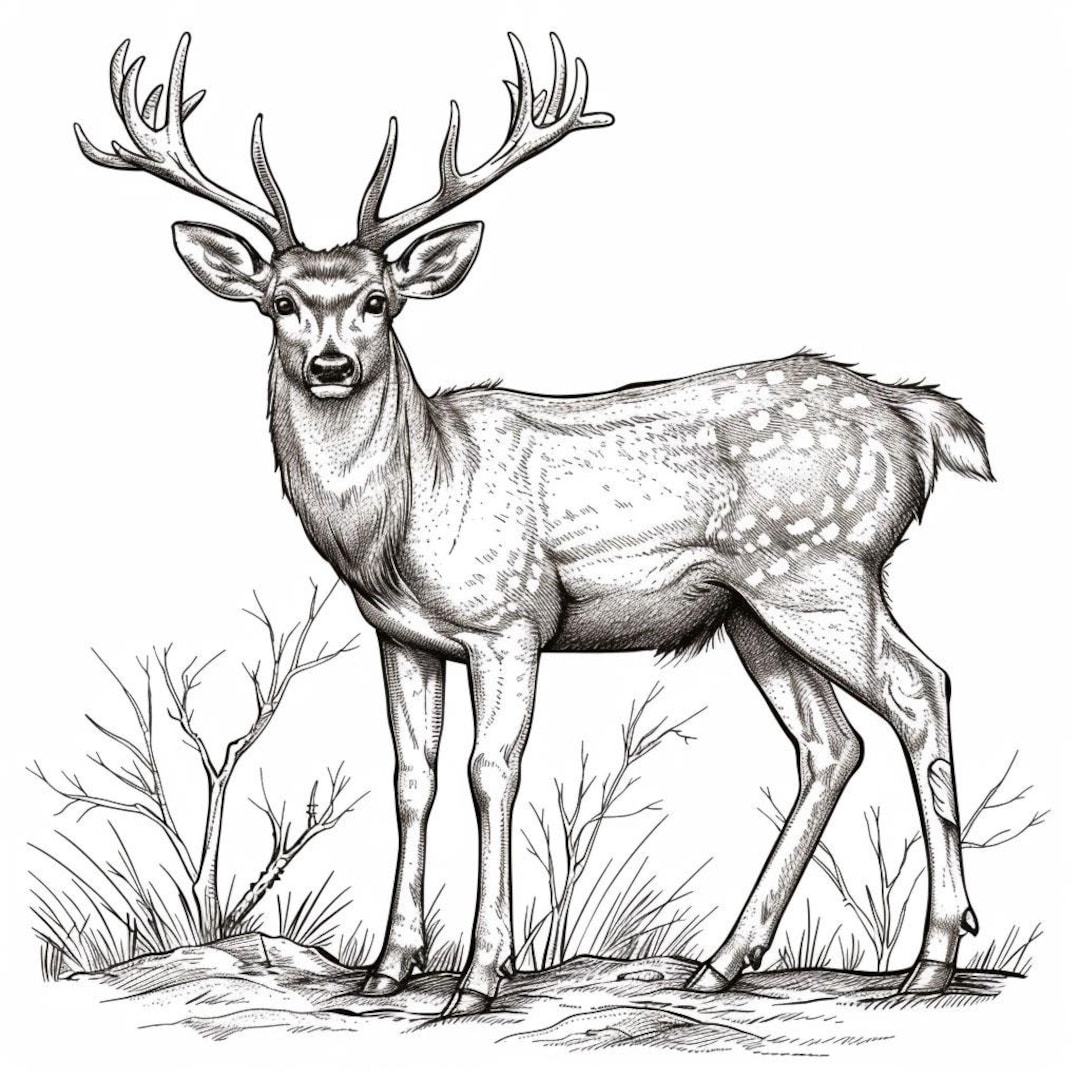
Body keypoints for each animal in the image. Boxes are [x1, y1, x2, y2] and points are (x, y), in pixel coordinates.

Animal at [75, 32, 992, 1015]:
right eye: (280, 301)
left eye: (378, 301)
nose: (329, 365)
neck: (409, 515)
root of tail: (911, 415)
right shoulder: (402, 636)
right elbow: (411, 778)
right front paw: (387, 967)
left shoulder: (510, 617)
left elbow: (492, 772)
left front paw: (480, 975)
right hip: (754, 610)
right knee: (831, 744)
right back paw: (720, 962)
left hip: (822, 566)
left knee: (920, 688)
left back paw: (934, 956)